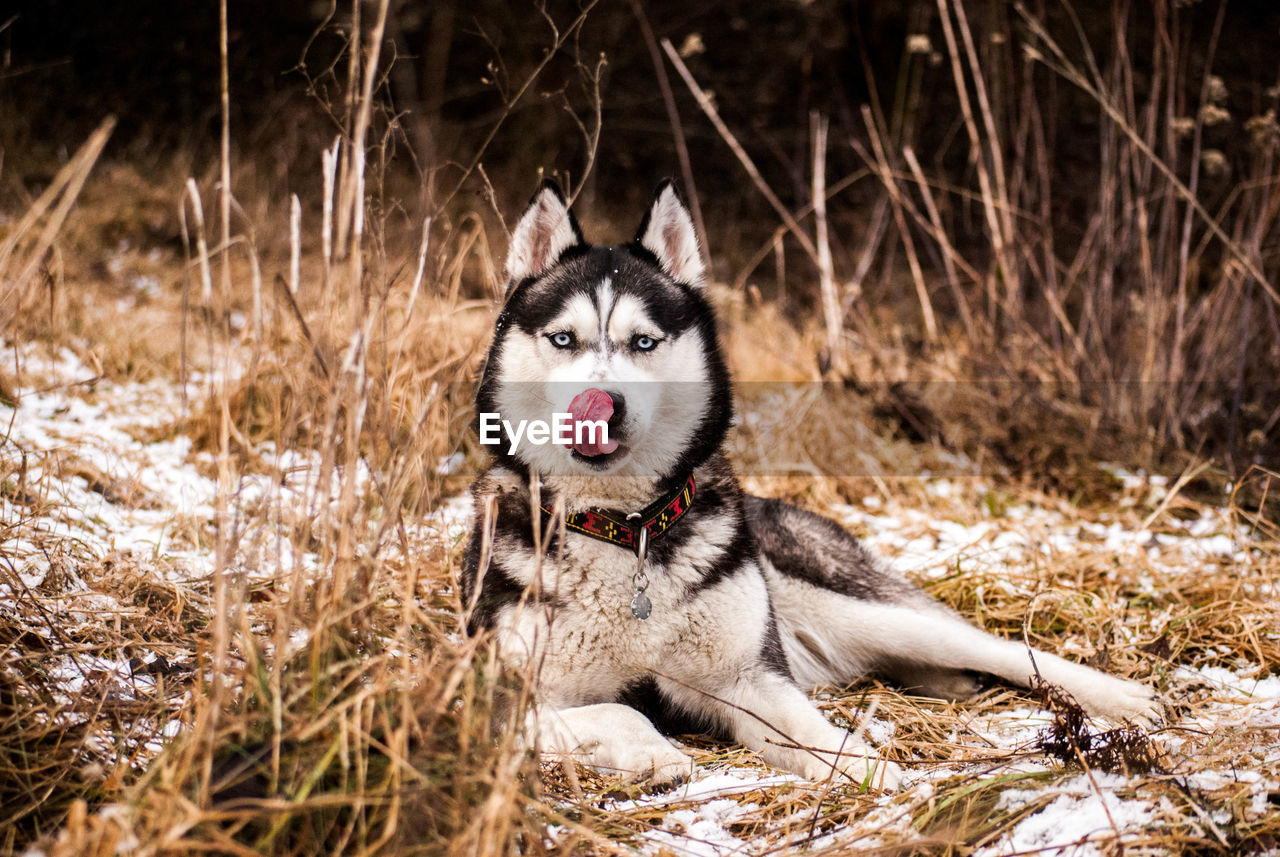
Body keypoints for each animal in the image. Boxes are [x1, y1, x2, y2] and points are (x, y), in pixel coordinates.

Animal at [463, 181, 1162, 793]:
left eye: (643, 342)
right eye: (563, 339)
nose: (601, 406)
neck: (623, 531)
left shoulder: (752, 678)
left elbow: (822, 736)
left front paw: (876, 775)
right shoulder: (495, 699)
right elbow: (620, 709)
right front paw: (654, 753)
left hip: (855, 604)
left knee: (1001, 648)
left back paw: (1119, 696)